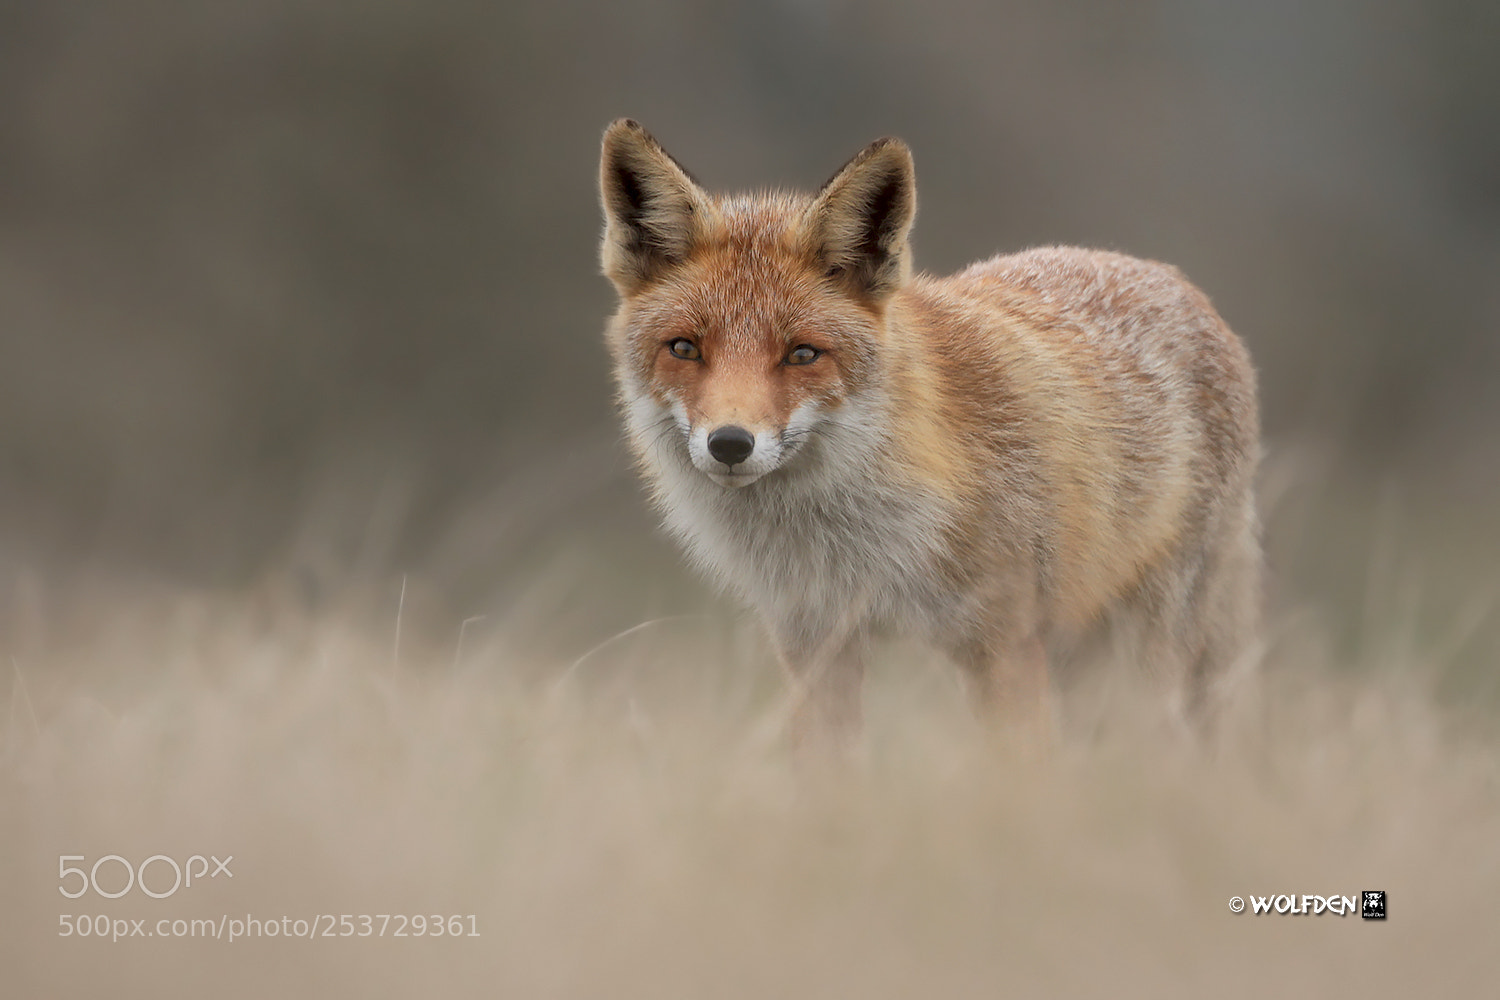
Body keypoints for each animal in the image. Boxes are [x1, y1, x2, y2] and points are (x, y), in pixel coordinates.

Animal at [597, 119, 1261, 746]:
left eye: (802, 354)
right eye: (684, 348)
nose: (731, 443)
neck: (854, 541)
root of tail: (1168, 275)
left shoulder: (1004, 644)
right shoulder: (815, 647)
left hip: (1144, 649)